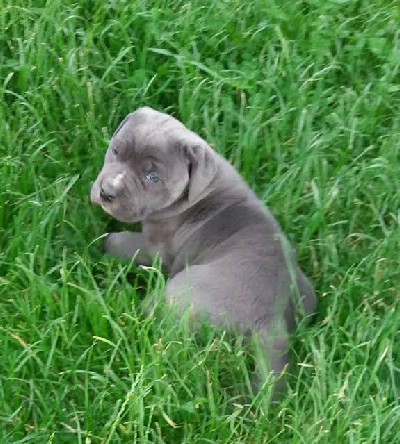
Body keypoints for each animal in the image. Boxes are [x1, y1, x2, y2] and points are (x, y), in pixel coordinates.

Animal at [90, 106, 316, 394]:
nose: (106, 192)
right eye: (116, 151)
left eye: (152, 177)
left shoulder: (156, 248)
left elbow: (117, 242)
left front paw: (101, 242)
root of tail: (272, 321)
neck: (199, 192)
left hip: (180, 290)